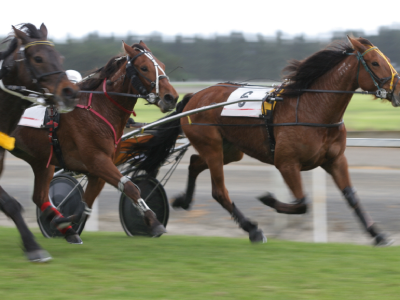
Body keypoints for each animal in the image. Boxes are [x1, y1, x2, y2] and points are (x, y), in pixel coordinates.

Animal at [9, 40, 179, 244]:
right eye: (144, 67)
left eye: (162, 65)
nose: (171, 97)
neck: (98, 109)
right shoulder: (98, 161)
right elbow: (131, 187)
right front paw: (153, 222)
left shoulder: (97, 170)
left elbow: (86, 204)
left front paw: (65, 223)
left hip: (42, 161)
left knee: (40, 196)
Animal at [127, 36, 400, 245]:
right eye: (375, 63)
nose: (397, 89)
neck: (313, 108)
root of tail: (194, 96)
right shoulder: (287, 162)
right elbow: (302, 202)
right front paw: (268, 199)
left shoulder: (335, 160)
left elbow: (351, 197)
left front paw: (378, 235)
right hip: (211, 144)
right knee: (219, 191)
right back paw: (252, 229)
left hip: (230, 149)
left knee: (195, 162)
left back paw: (183, 200)